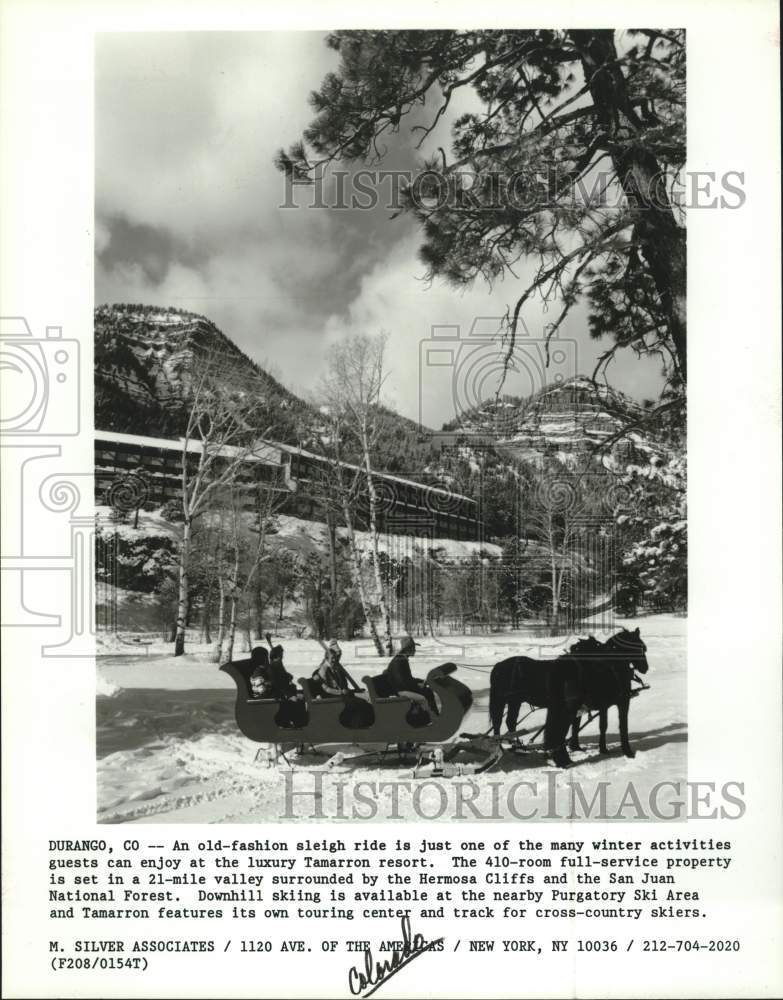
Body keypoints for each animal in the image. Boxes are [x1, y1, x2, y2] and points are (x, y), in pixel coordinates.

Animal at [490, 628, 648, 768]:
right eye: (640, 647)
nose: (645, 668)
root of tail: (498, 666)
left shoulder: (600, 706)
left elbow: (593, 726)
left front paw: (585, 747)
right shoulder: (620, 702)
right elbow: (620, 726)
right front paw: (626, 752)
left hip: (514, 702)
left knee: (510, 722)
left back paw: (516, 747)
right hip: (507, 701)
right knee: (501, 723)